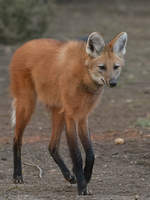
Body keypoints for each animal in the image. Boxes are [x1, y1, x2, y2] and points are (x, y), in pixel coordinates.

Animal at [9, 31, 126, 195]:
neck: (84, 76)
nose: (113, 83)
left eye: (116, 67)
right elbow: (77, 155)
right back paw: (18, 175)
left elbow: (90, 154)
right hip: (28, 104)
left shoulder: (82, 117)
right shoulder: (71, 116)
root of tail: (22, 46)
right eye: (102, 67)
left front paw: (85, 176)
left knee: (52, 146)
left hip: (58, 111)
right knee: (16, 139)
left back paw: (69, 176)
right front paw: (82, 187)